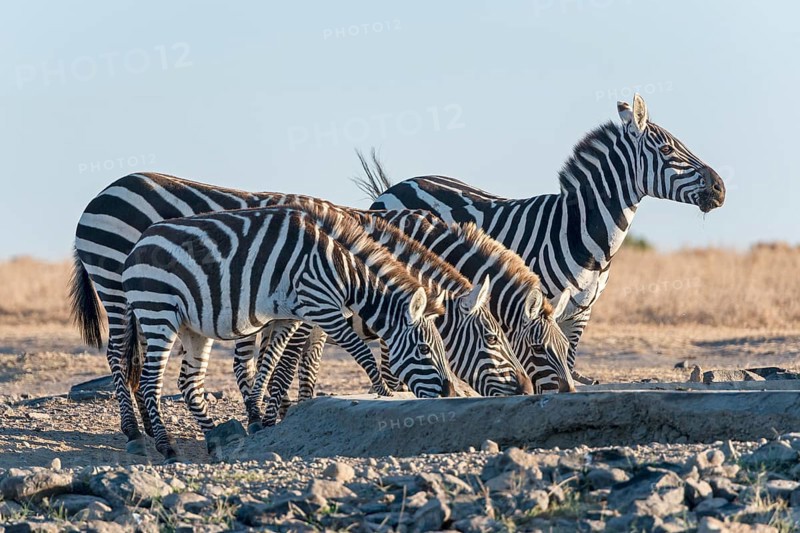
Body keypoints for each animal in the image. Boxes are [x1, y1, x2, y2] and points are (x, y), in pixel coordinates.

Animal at [120, 205, 455, 461]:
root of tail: (138, 245)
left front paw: (259, 418)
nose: (449, 393)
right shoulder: (321, 307)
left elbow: (270, 364)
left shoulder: (287, 317)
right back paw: (167, 447)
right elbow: (361, 351)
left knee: (189, 382)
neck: (343, 271)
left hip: (191, 326)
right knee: (150, 382)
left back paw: (216, 437)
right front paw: (384, 390)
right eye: (424, 350)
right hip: (158, 311)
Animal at [358, 95, 726, 381]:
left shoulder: (581, 312)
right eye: (666, 148)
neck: (581, 231)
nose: (720, 187)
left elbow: (567, 357)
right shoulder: (535, 303)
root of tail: (393, 187)